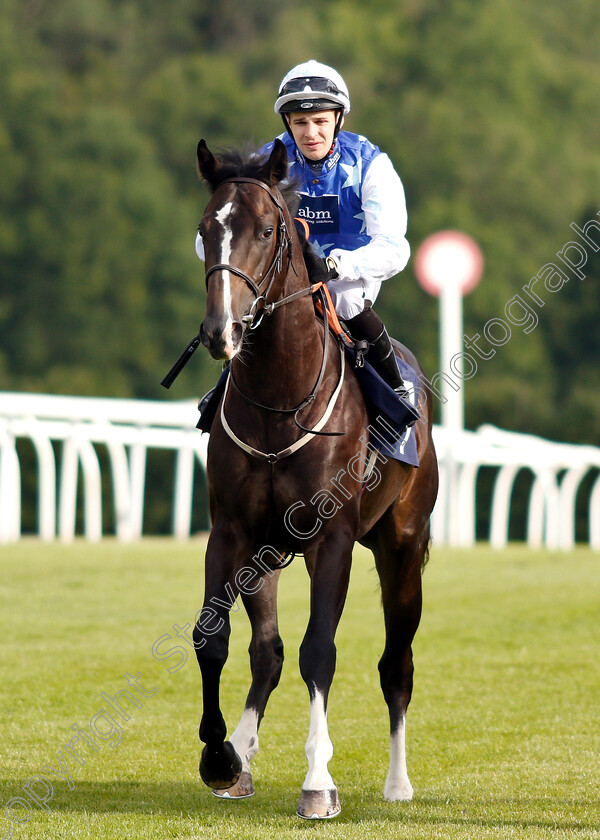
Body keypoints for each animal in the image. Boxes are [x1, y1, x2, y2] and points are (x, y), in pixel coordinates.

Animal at [190, 138, 438, 820]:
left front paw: (318, 781)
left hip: (401, 547)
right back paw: (242, 758)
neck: (280, 401)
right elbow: (214, 640)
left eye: (267, 230)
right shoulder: (232, 532)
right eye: (207, 229)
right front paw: (220, 756)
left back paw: (398, 783)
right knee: (266, 653)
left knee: (396, 664)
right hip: (270, 554)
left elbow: (319, 651)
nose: (221, 331)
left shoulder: (334, 540)